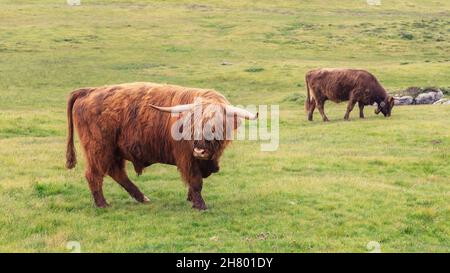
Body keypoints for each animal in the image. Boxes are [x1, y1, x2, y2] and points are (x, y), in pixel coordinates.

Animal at [65, 82, 258, 209]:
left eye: (217, 125)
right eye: (192, 124)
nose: (199, 149)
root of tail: (89, 91)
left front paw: (190, 198)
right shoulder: (186, 158)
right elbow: (196, 180)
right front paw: (199, 204)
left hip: (114, 150)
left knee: (117, 172)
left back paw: (142, 198)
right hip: (98, 148)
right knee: (94, 174)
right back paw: (103, 204)